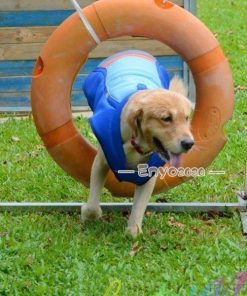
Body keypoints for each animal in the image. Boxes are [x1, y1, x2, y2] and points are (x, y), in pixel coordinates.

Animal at [80, 71, 193, 238]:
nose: (189, 144)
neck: (137, 144)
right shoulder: (100, 162)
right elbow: (93, 204)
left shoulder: (147, 177)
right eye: (166, 118)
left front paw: (132, 232)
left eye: (186, 118)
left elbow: (139, 206)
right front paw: (87, 213)